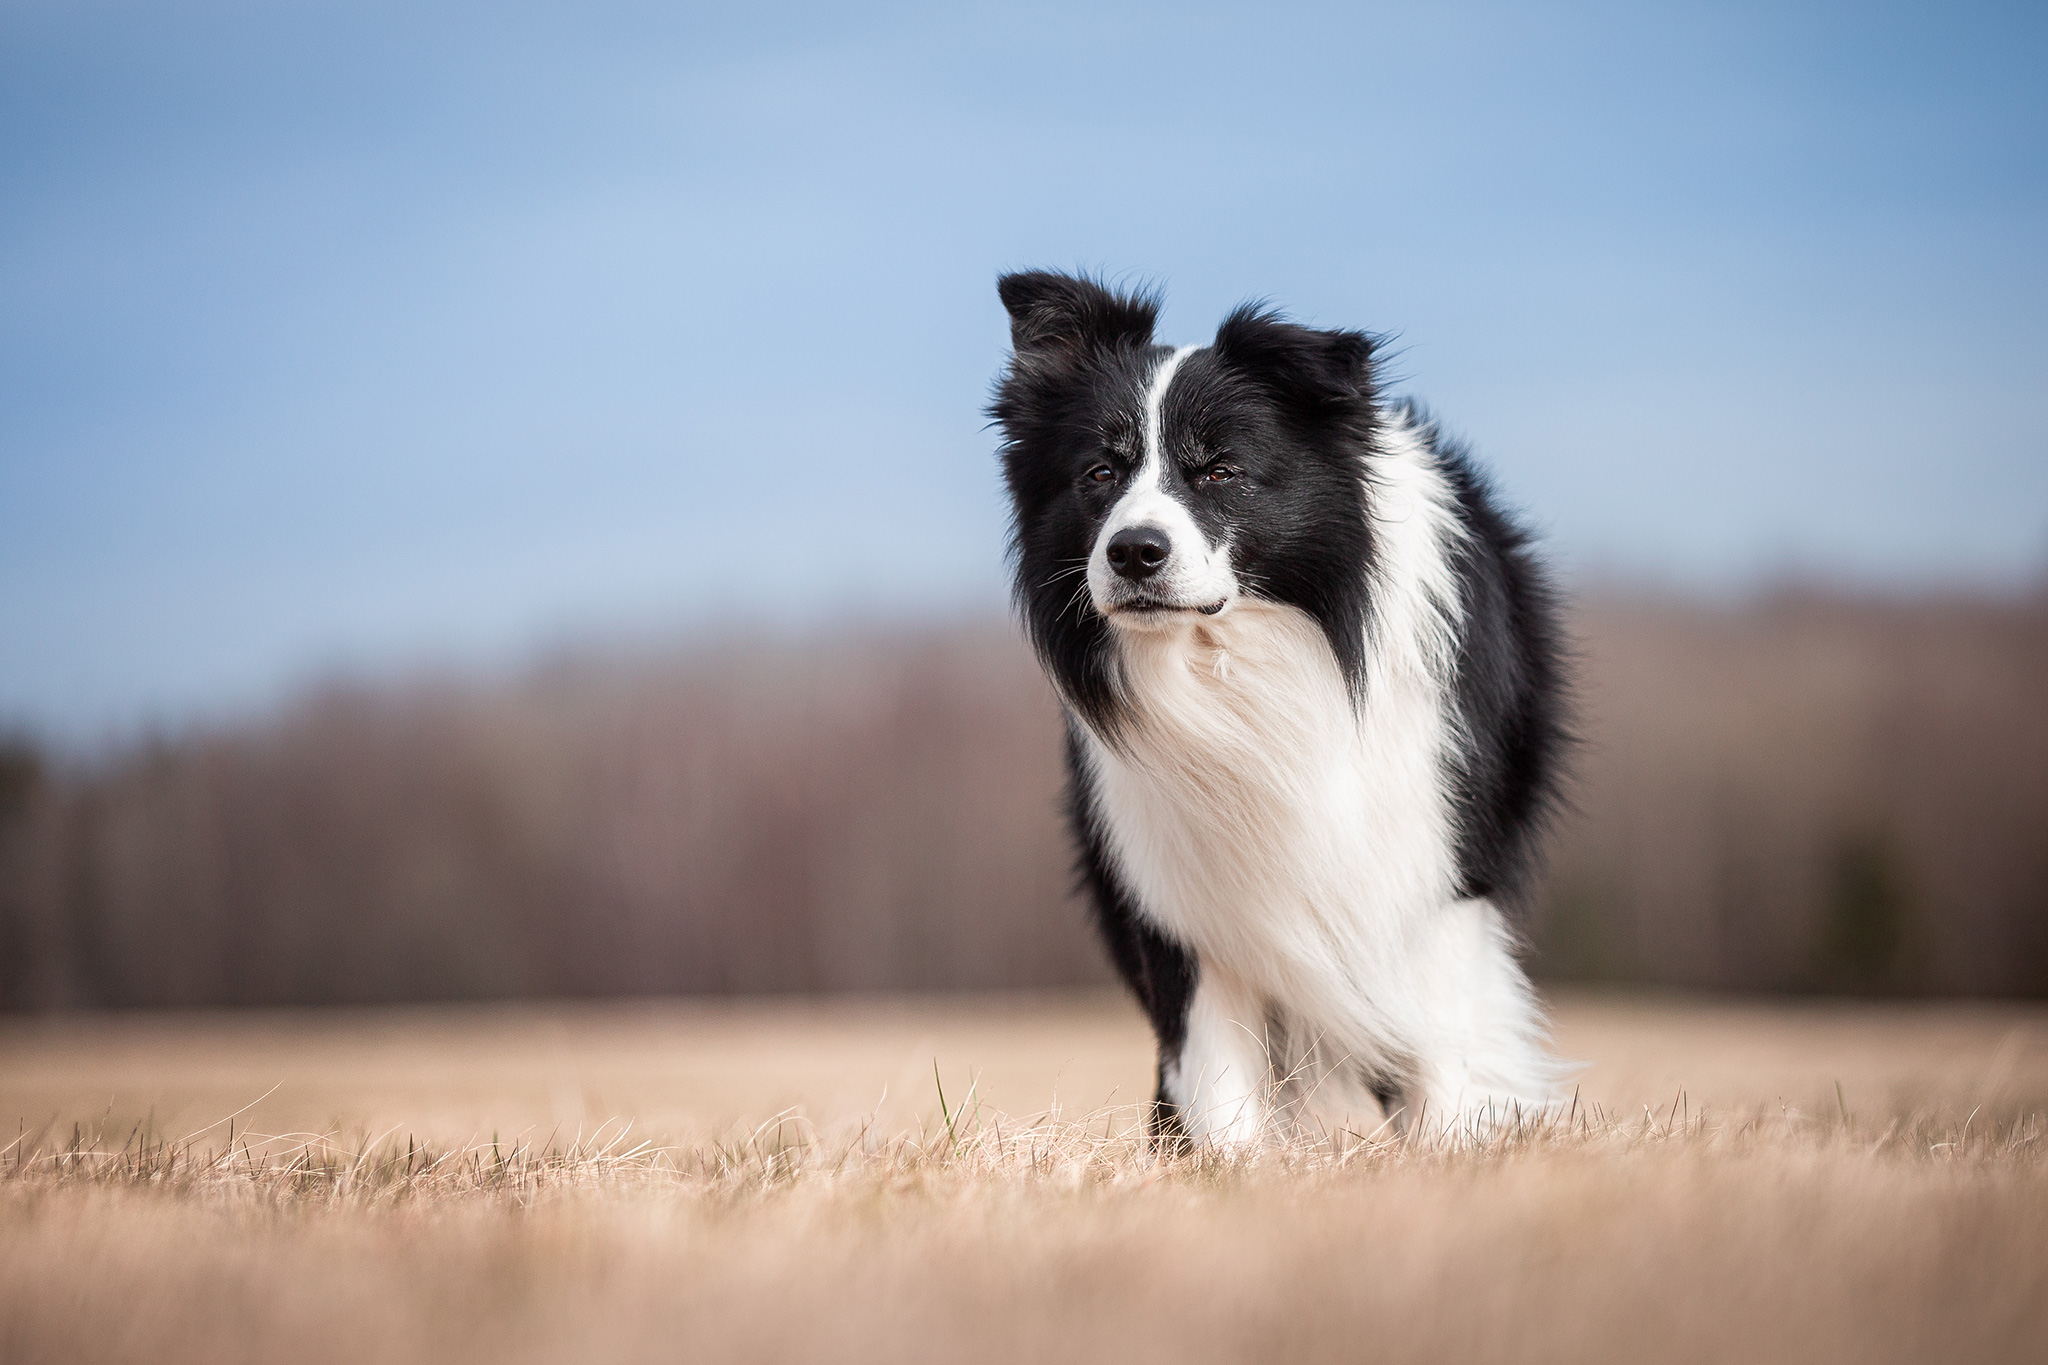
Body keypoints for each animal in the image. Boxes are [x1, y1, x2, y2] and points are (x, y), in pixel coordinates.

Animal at [991, 272, 1564, 1146]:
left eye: (1220, 471)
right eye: (1099, 473)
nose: (1133, 551)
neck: (1242, 660)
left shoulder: (1435, 863)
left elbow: (1441, 1046)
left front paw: (1445, 1156)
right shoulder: (1179, 885)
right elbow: (1216, 1069)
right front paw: (1226, 1166)